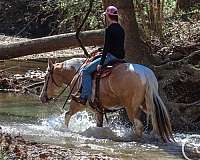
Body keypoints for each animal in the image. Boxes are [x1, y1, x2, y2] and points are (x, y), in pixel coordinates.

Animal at [39, 57, 173, 142]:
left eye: (46, 77)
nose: (42, 97)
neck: (77, 74)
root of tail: (145, 74)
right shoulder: (99, 110)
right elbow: (99, 125)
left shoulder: (77, 104)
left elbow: (67, 115)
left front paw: (65, 130)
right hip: (146, 104)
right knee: (154, 118)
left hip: (131, 108)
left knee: (138, 126)